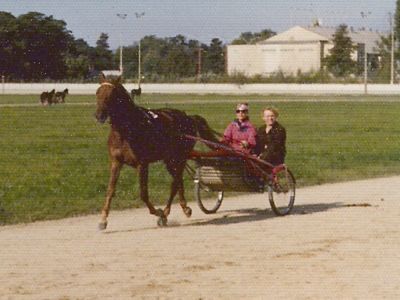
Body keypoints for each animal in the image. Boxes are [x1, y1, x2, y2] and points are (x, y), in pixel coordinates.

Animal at [94, 74, 219, 229]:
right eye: (97, 92)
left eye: (111, 94)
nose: (98, 115)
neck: (128, 128)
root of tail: (188, 117)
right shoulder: (116, 161)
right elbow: (110, 190)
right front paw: (103, 219)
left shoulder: (142, 164)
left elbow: (143, 194)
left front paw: (158, 212)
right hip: (170, 160)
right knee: (178, 181)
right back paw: (184, 208)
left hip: (180, 157)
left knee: (175, 183)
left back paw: (165, 213)